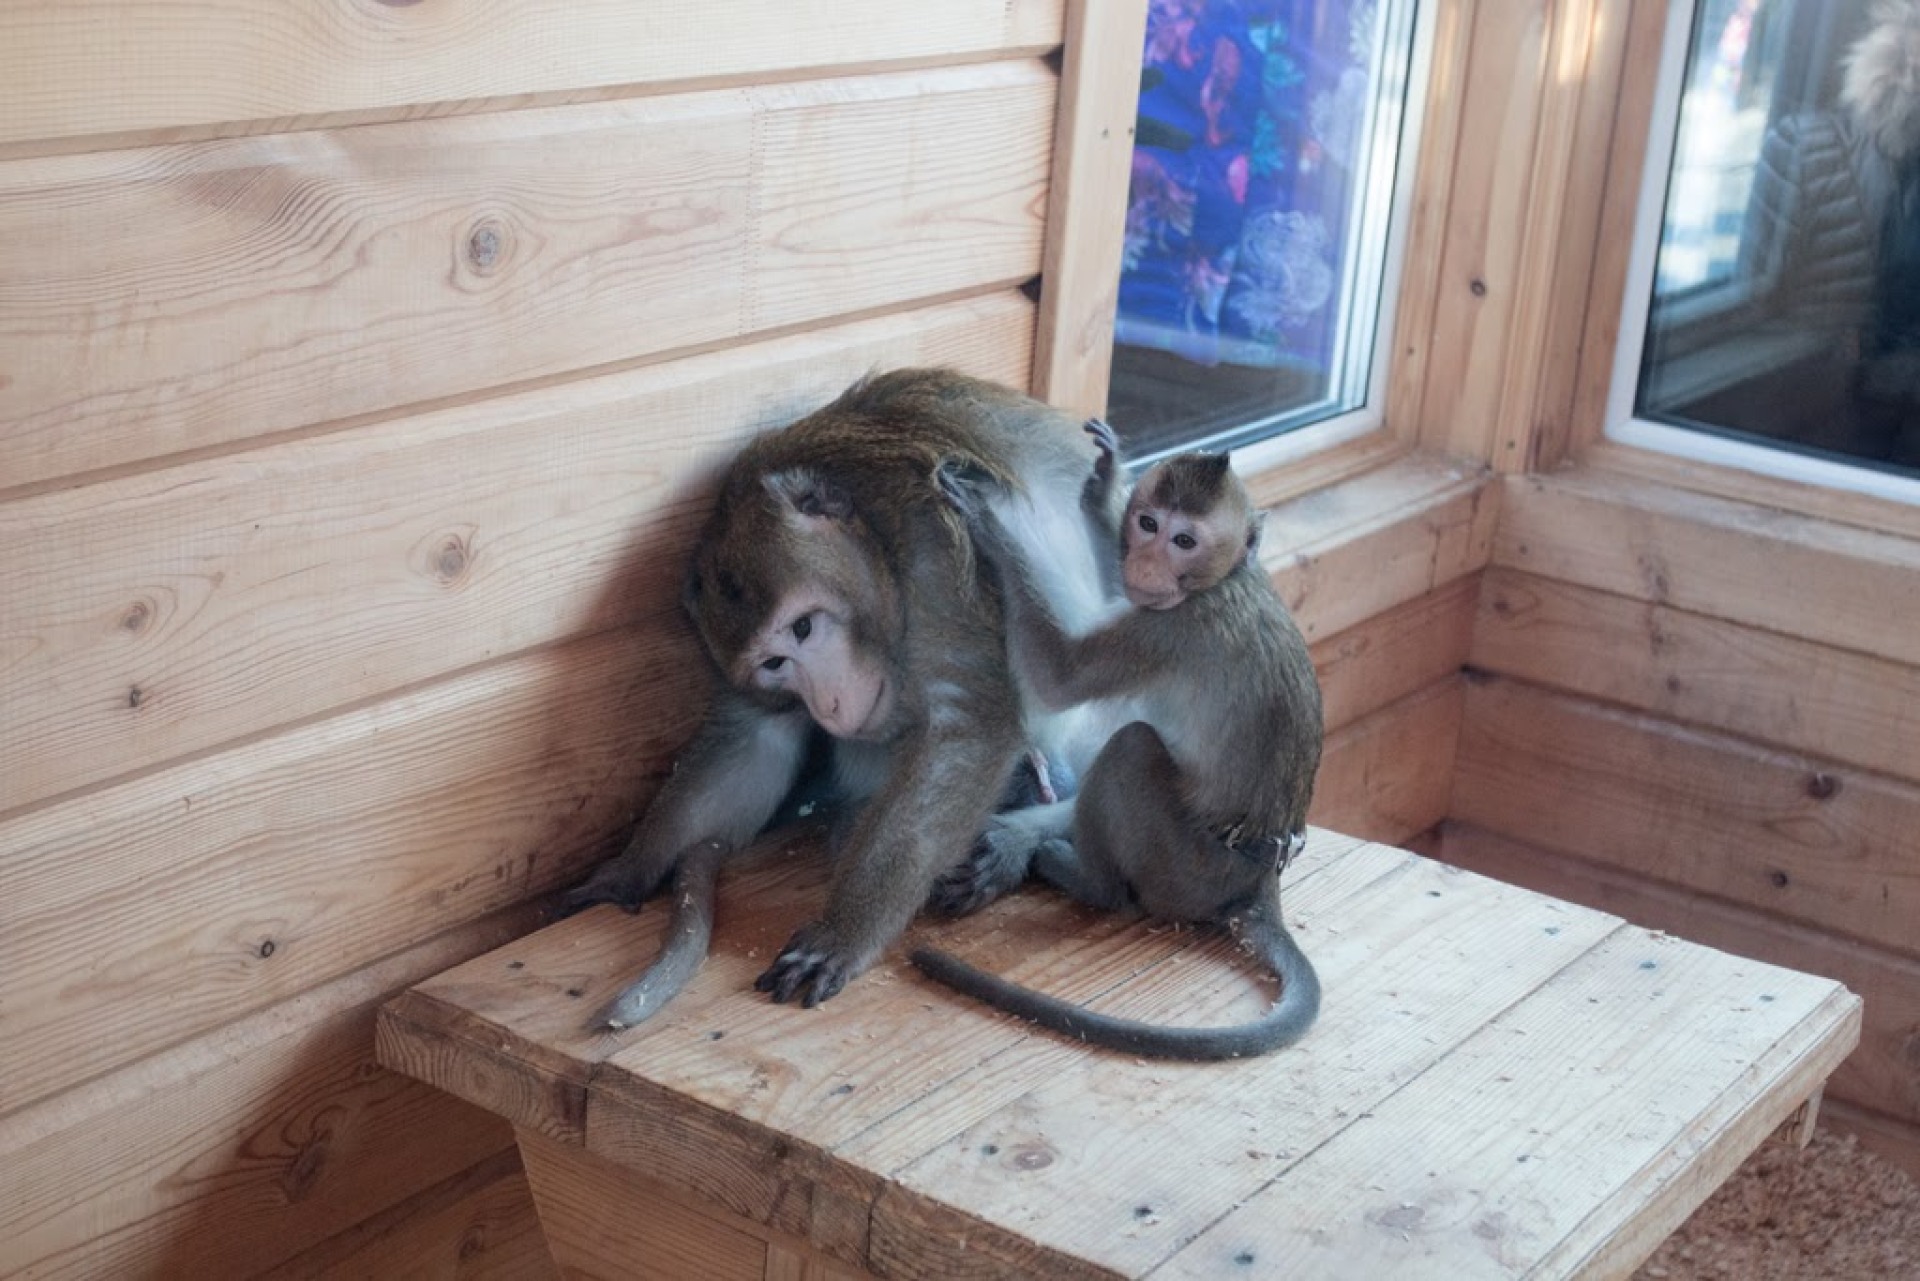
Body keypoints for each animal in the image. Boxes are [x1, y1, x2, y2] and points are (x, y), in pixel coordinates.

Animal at [562, 369, 1126, 1027]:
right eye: (775, 663)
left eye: (805, 627)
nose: (829, 704)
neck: (877, 539)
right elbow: (755, 740)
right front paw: (629, 869)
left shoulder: (936, 551)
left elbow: (968, 728)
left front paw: (843, 935)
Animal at [910, 433, 1325, 1060]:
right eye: (1148, 523)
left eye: (1184, 541)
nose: (1145, 563)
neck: (1221, 581)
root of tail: (1257, 881)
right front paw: (1103, 492)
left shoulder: (1168, 629)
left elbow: (1061, 675)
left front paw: (988, 519)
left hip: (1184, 869)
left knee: (1133, 745)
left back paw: (1094, 885)